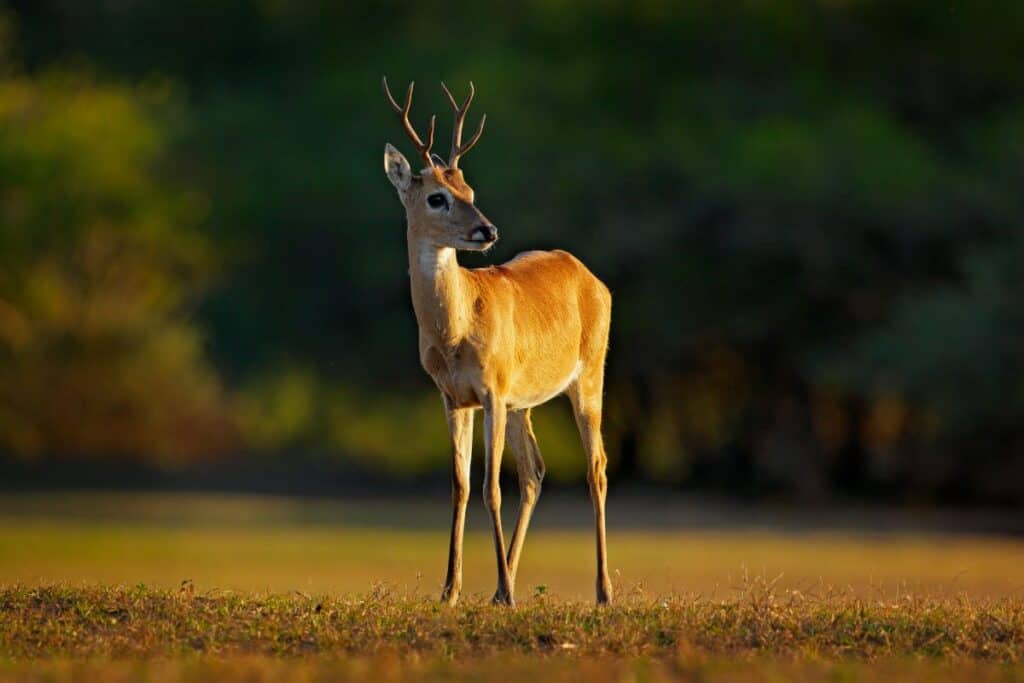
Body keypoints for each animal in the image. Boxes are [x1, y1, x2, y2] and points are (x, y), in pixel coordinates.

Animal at [382, 77, 606, 606]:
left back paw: (602, 591)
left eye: (470, 189)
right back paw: (506, 588)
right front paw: (450, 589)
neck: (455, 329)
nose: (487, 229)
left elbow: (490, 489)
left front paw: (492, 585)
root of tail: (592, 278)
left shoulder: (492, 391)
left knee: (597, 469)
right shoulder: (454, 398)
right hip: (525, 402)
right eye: (437, 197)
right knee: (535, 472)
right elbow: (461, 486)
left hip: (588, 377)